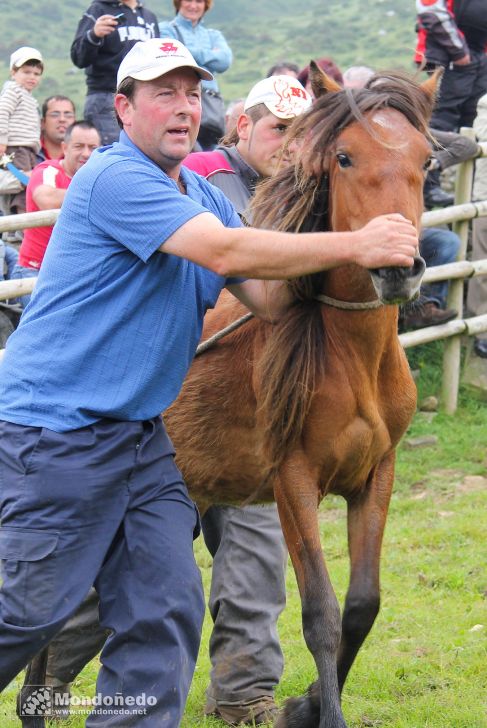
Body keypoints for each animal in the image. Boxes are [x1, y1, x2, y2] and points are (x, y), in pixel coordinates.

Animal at [166, 65, 436, 724]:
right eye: (344, 156)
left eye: (427, 160)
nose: (399, 268)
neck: (351, 358)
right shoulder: (293, 481)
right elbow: (320, 615)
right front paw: (322, 710)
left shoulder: (376, 475)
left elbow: (362, 605)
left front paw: (304, 703)